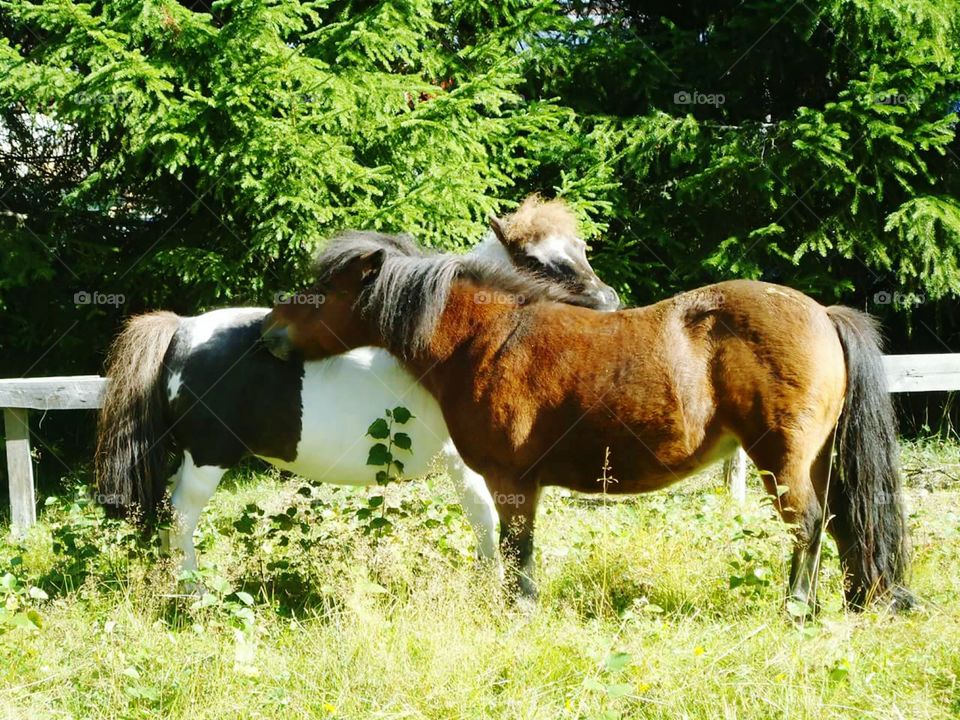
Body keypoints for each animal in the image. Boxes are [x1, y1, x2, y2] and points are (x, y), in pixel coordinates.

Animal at [95, 196, 620, 574]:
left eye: (582, 250)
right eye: (537, 260)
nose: (611, 303)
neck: (462, 341)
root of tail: (182, 328)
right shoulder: (467, 463)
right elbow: (486, 520)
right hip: (208, 458)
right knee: (183, 514)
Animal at [261, 233, 914, 612]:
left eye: (324, 287)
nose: (269, 330)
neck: (486, 339)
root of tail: (822, 313)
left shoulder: (512, 483)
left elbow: (517, 551)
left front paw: (519, 611)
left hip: (781, 461)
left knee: (808, 525)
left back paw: (796, 609)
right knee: (841, 520)